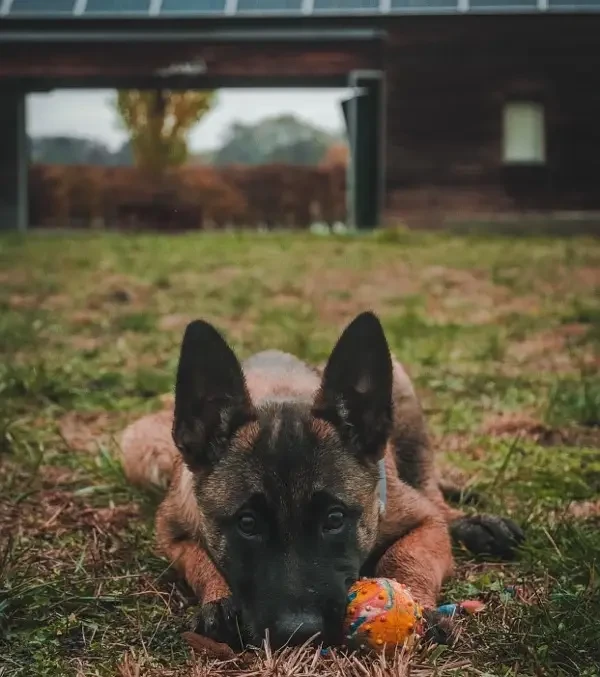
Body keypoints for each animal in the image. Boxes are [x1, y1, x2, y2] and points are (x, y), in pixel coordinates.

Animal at [119, 312, 524, 648]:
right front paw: (220, 600)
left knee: (433, 491)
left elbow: (406, 556)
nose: (300, 633)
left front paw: (417, 605)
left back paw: (475, 525)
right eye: (247, 524)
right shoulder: (172, 531)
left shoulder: (424, 523)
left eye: (335, 519)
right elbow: (200, 561)